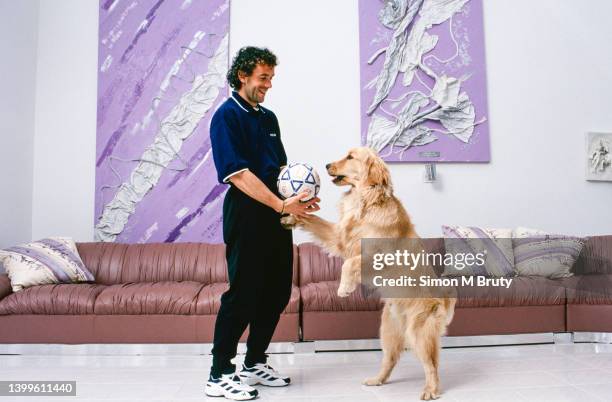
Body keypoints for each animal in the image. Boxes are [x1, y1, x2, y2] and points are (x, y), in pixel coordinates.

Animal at [282, 147, 454, 398]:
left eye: (350, 157)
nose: (326, 165)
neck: (366, 202)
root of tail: (442, 300)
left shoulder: (380, 255)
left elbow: (350, 263)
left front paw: (344, 287)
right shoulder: (339, 236)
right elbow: (315, 220)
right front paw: (292, 216)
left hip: (419, 332)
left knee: (432, 364)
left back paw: (430, 390)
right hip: (387, 330)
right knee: (390, 360)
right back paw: (377, 380)